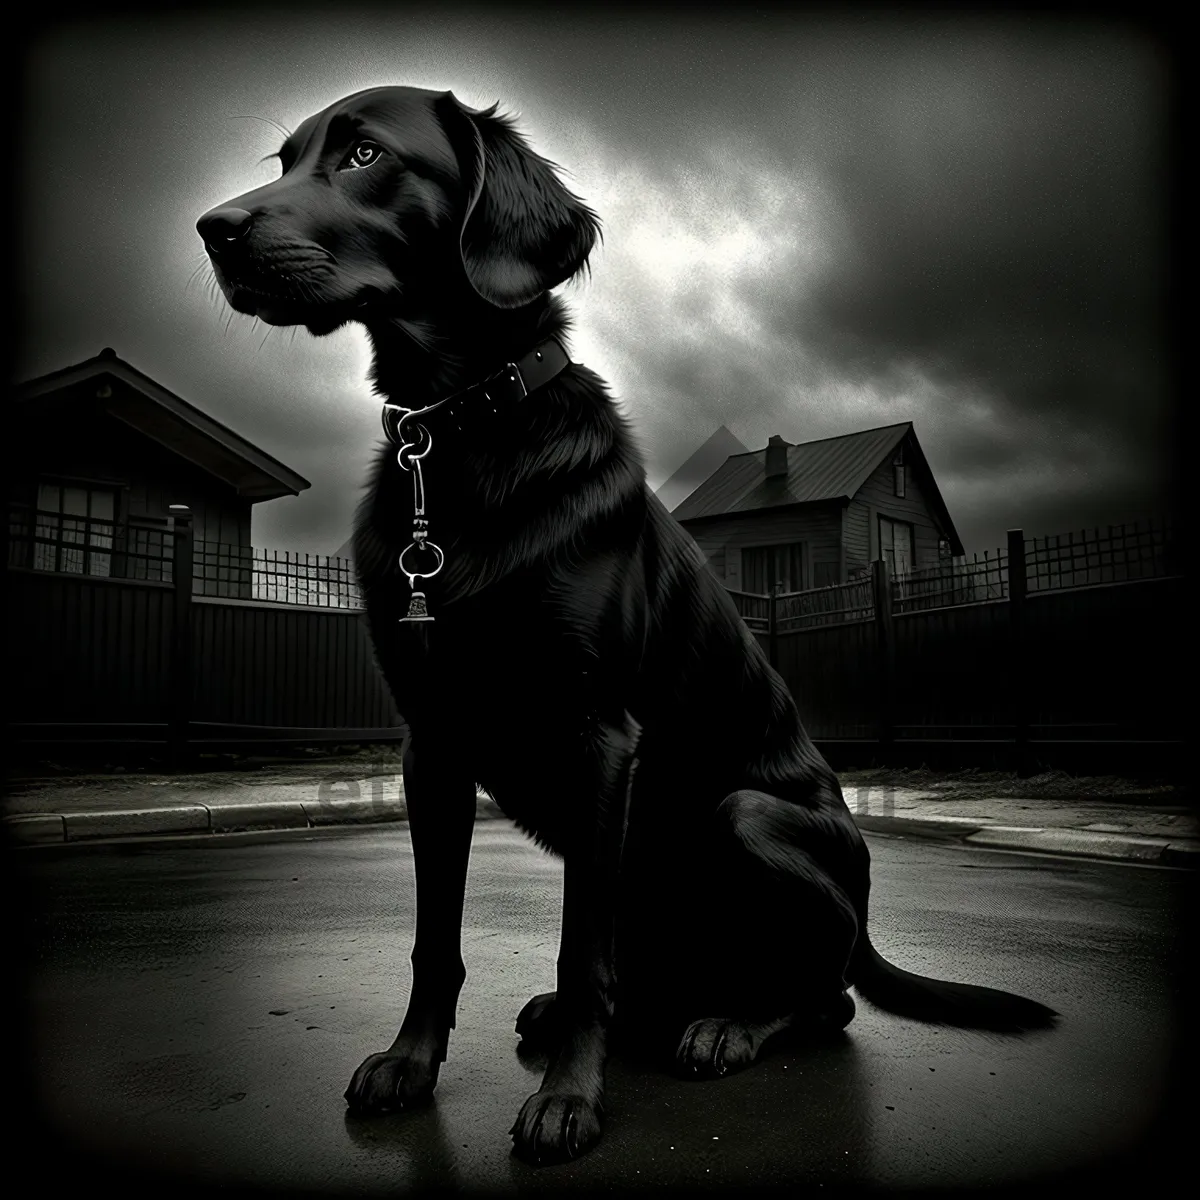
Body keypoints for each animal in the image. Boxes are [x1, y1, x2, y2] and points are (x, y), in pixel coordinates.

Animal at [199, 82, 1060, 1161]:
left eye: (364, 153)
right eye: (284, 160)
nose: (212, 229)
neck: (458, 436)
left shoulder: (599, 736)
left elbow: (581, 953)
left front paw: (568, 1099)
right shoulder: (430, 744)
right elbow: (436, 938)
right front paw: (410, 1061)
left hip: (747, 819)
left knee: (825, 1000)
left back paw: (727, 1023)